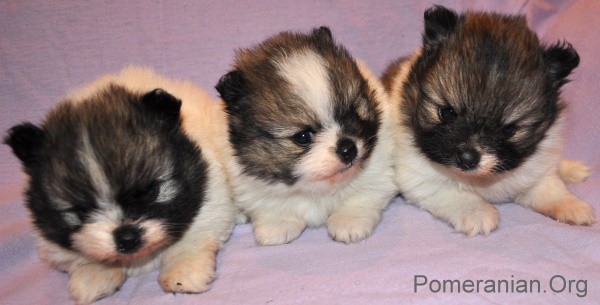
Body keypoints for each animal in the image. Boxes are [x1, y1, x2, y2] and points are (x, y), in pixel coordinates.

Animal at [7, 67, 238, 304]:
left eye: (150, 191)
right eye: (81, 210)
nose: (127, 238)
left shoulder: (211, 199)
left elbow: (192, 240)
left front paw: (183, 272)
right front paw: (94, 275)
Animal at [216, 26, 398, 245]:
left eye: (352, 112)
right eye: (303, 136)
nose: (348, 149)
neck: (316, 189)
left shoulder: (377, 169)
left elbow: (362, 195)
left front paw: (349, 221)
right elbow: (271, 206)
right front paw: (278, 225)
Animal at [384, 5, 596, 236]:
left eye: (508, 130)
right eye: (447, 113)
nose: (467, 158)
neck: (481, 180)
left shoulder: (535, 171)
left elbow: (550, 187)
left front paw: (572, 205)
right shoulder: (417, 177)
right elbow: (449, 190)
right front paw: (478, 212)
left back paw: (572, 169)